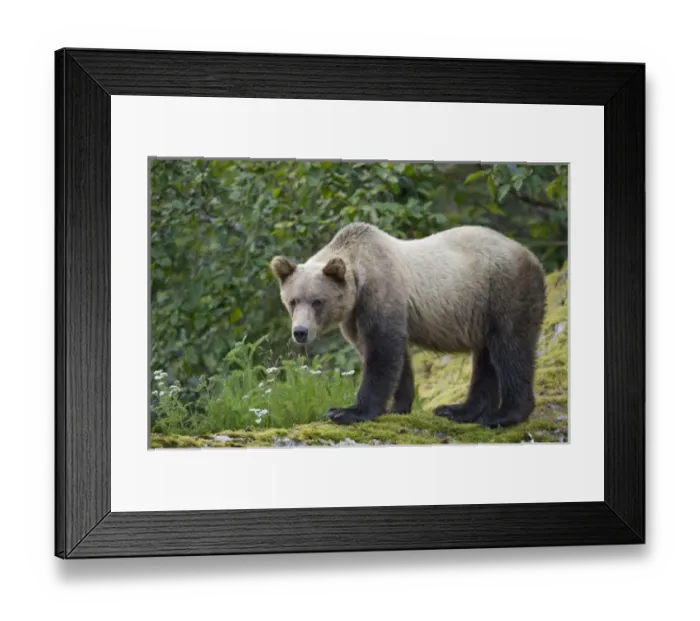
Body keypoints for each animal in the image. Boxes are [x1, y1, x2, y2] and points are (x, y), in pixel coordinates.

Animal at [269, 221, 546, 429]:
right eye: (293, 301)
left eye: (317, 301)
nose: (300, 332)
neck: (359, 276)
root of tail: (531, 255)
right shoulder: (355, 315)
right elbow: (393, 356)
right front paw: (398, 406)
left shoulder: (382, 292)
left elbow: (382, 353)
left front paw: (346, 411)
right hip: (483, 310)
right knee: (487, 357)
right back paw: (459, 410)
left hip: (504, 290)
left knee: (511, 349)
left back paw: (503, 415)